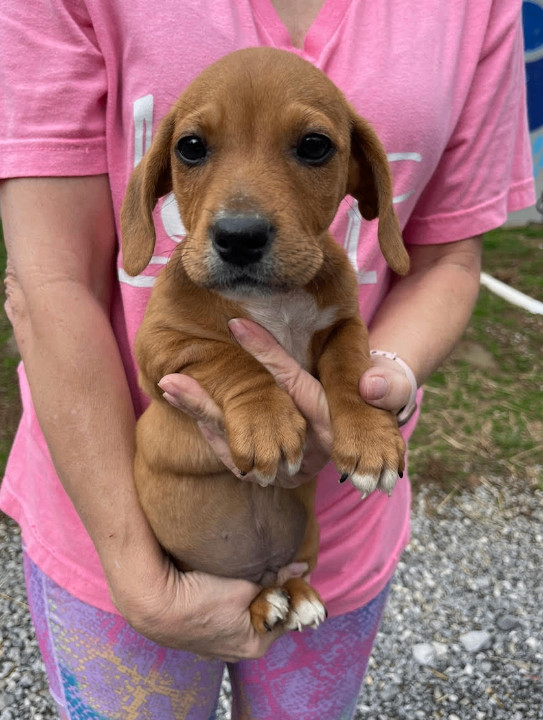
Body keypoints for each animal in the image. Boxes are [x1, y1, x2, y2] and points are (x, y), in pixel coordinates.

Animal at [121, 45, 410, 632]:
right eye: (190, 147)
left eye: (315, 146)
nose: (239, 237)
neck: (271, 299)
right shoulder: (161, 347)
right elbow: (229, 355)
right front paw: (267, 420)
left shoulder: (343, 325)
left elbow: (349, 365)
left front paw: (370, 436)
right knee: (248, 593)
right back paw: (265, 604)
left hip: (307, 541)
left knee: (286, 574)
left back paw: (295, 594)